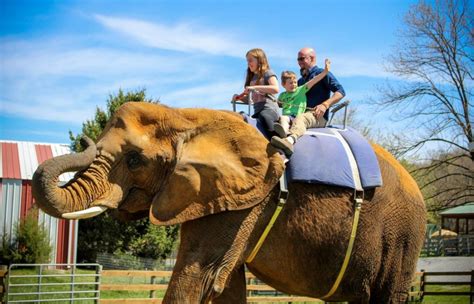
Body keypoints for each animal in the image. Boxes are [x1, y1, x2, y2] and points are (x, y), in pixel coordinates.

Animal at [32, 102, 426, 304]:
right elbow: (223, 282)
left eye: (134, 160)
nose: (83, 140)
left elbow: (200, 274)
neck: (186, 115)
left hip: (402, 235)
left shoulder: (247, 201)